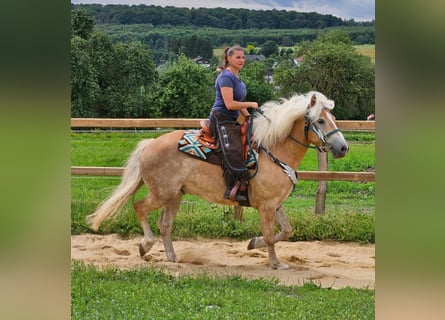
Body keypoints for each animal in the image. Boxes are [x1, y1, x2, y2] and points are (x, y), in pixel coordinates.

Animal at [86, 90, 346, 270]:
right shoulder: (266, 206)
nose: (343, 148)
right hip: (162, 194)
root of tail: (150, 144)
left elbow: (286, 231)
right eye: (320, 121)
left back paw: (172, 257)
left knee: (165, 225)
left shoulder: (275, 204)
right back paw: (145, 245)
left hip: (175, 196)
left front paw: (253, 243)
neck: (274, 151)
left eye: (333, 117)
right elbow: (271, 236)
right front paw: (275, 263)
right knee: (139, 207)